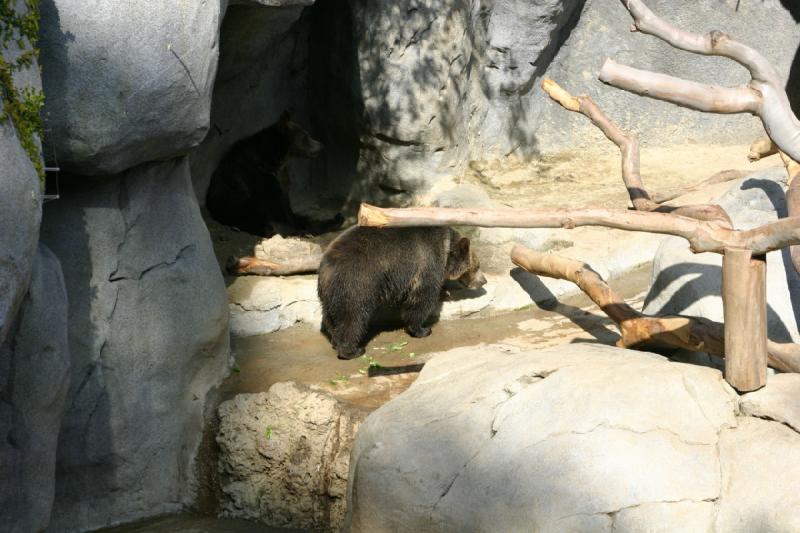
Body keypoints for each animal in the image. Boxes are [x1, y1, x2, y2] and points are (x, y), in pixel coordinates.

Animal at [205, 111, 342, 236]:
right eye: (305, 136)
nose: (321, 145)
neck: (274, 160)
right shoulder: (257, 176)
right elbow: (274, 207)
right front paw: (296, 230)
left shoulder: (282, 177)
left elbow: (287, 206)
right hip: (232, 203)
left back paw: (335, 220)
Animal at [316, 224, 484, 358]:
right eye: (477, 266)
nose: (484, 281)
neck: (446, 247)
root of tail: (328, 266)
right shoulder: (427, 260)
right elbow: (422, 297)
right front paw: (423, 329)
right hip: (357, 282)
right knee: (352, 317)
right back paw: (352, 350)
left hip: (328, 293)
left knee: (330, 316)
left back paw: (335, 341)